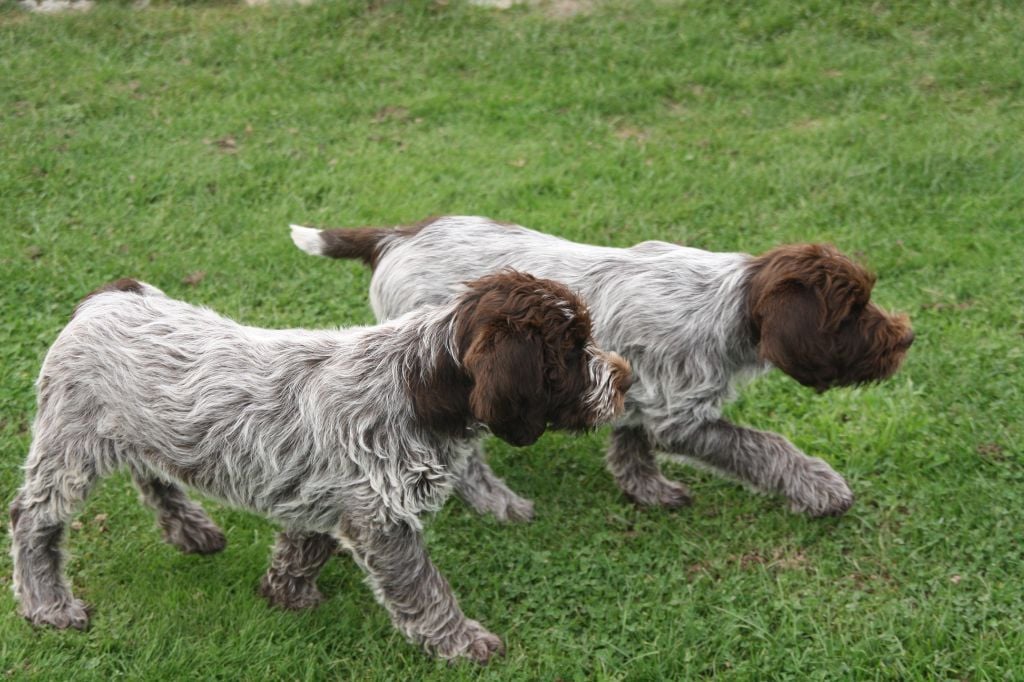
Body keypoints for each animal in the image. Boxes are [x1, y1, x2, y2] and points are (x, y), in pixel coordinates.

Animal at [8, 268, 630, 659]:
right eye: (571, 351)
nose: (622, 378)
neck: (416, 385)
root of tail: (106, 296)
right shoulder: (383, 522)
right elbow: (426, 591)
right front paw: (461, 642)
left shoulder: (329, 498)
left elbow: (303, 546)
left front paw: (285, 594)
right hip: (69, 447)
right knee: (32, 520)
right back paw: (48, 605)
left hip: (138, 433)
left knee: (153, 476)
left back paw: (190, 530)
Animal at [292, 215, 917, 518]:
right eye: (852, 312)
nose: (907, 337)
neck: (725, 304)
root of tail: (397, 237)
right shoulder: (681, 415)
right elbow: (767, 447)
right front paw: (819, 488)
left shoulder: (638, 391)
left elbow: (631, 444)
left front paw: (647, 490)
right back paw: (497, 505)